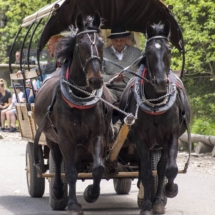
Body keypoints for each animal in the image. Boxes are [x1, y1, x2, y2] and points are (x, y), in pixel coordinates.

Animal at [34, 12, 111, 214]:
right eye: (80, 44)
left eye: (101, 43)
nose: (96, 80)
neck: (80, 99)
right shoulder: (65, 139)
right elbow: (69, 172)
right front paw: (73, 204)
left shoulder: (97, 135)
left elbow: (98, 168)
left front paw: (91, 193)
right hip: (51, 138)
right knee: (58, 160)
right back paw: (59, 191)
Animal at [120, 21, 191, 214]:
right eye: (149, 51)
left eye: (169, 50)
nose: (161, 83)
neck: (155, 103)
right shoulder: (141, 139)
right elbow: (145, 172)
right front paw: (146, 206)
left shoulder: (171, 136)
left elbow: (169, 169)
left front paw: (168, 191)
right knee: (145, 168)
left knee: (160, 168)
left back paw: (158, 199)